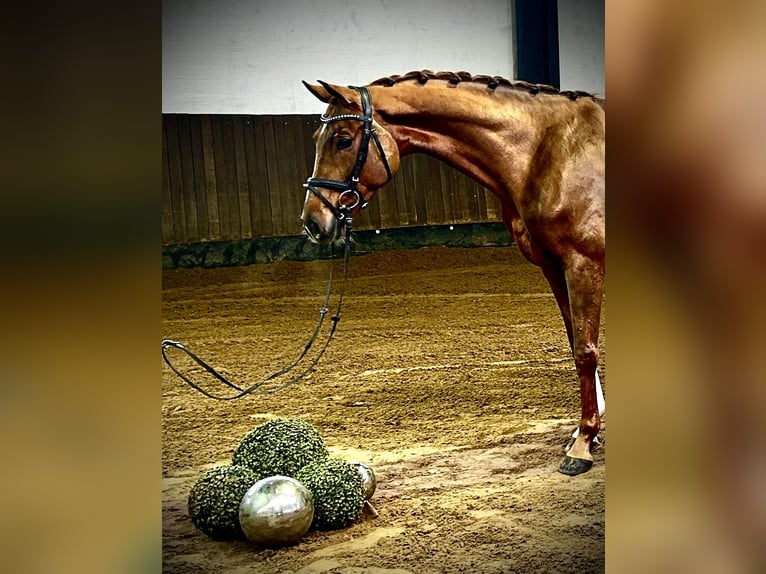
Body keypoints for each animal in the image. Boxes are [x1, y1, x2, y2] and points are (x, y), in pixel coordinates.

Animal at [300, 71, 608, 476]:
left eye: (344, 140)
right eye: (316, 140)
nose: (312, 222)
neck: (551, 150)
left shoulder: (583, 263)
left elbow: (585, 351)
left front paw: (583, 444)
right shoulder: (554, 267)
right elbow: (575, 341)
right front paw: (584, 432)